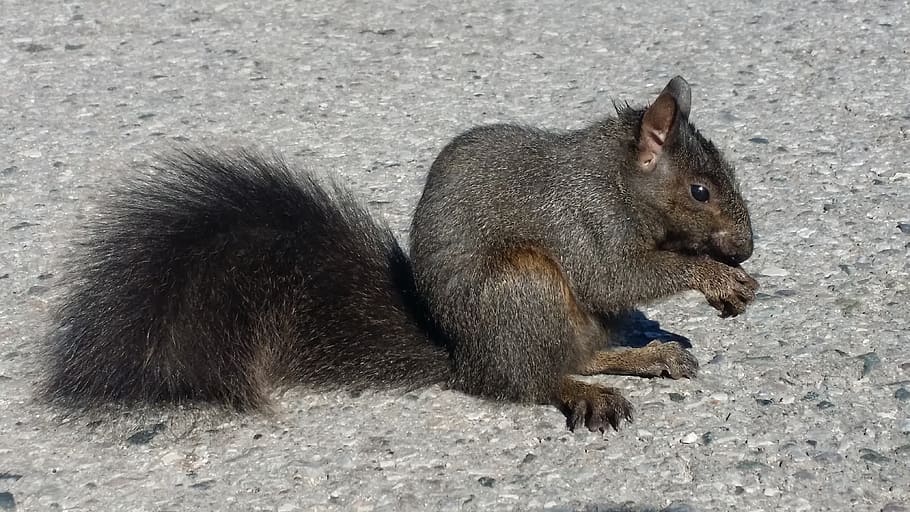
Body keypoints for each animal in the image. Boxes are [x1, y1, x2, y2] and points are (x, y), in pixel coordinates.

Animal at [46, 76, 758, 432]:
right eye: (700, 191)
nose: (748, 247)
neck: (616, 179)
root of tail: (465, 359)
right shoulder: (585, 225)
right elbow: (615, 275)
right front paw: (714, 277)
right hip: (523, 289)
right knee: (533, 380)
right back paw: (585, 392)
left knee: (580, 350)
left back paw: (649, 356)